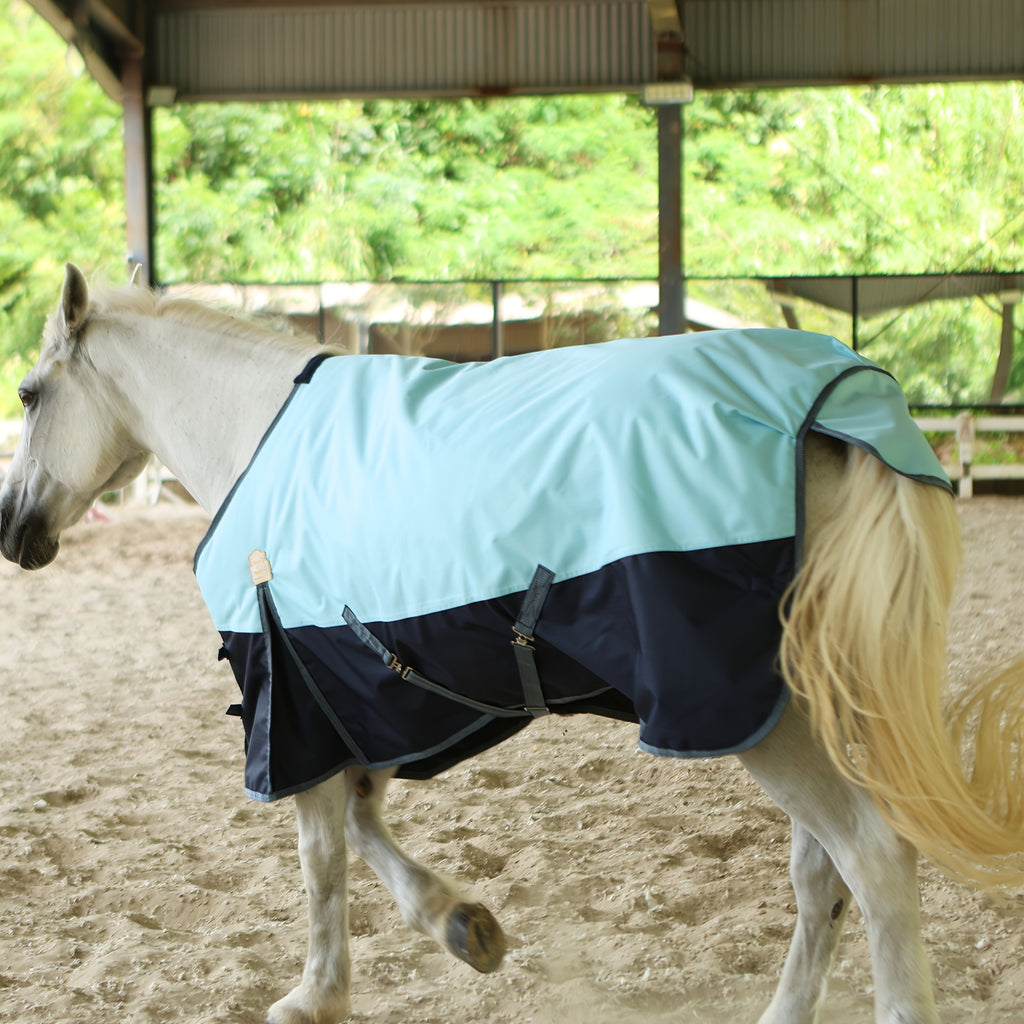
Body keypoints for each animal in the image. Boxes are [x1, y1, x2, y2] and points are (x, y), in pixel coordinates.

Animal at [1, 263, 1023, 1024]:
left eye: (29, 392)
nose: (14, 531)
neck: (262, 434)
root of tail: (832, 407)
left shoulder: (292, 695)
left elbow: (322, 851)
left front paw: (316, 993)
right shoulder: (379, 691)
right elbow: (362, 824)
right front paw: (460, 923)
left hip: (754, 716)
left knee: (873, 861)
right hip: (790, 704)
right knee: (822, 876)